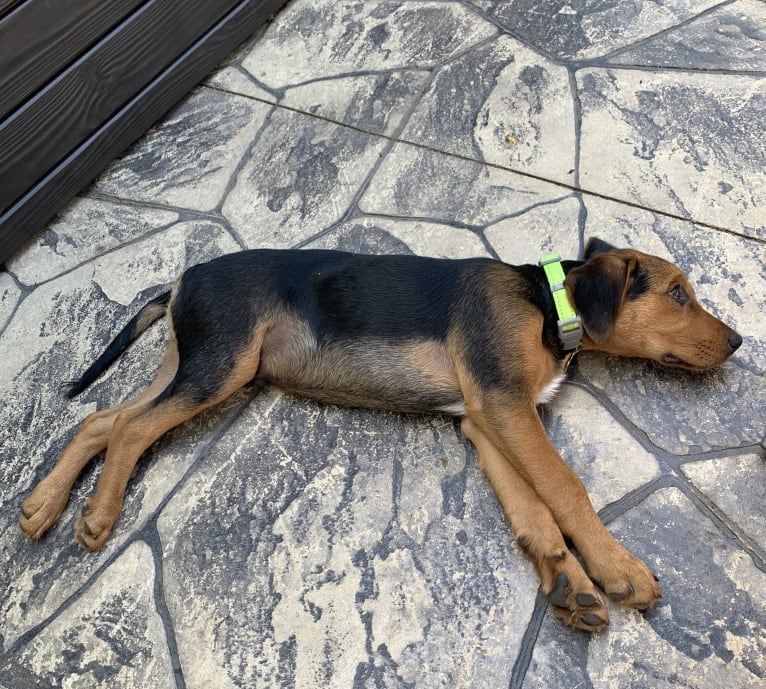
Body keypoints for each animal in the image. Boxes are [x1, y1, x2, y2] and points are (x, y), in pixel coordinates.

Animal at [21, 239, 744, 632]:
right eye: (679, 294)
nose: (738, 341)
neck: (547, 304)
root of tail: (179, 279)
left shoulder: (484, 418)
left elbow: (533, 513)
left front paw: (569, 582)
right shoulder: (504, 403)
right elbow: (564, 488)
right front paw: (619, 571)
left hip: (192, 362)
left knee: (100, 420)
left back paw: (41, 506)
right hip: (221, 364)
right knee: (130, 426)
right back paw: (97, 515)